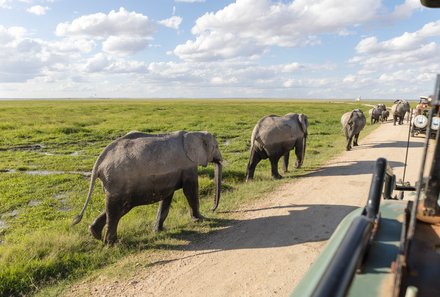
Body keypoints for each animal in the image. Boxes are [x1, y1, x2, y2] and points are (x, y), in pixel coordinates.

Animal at [73, 130, 223, 243]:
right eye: (216, 146)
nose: (212, 209)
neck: (194, 133)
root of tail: (98, 163)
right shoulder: (188, 165)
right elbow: (190, 190)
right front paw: (201, 219)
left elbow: (167, 196)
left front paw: (158, 230)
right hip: (118, 180)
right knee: (117, 209)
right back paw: (112, 243)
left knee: (119, 208)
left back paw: (95, 234)